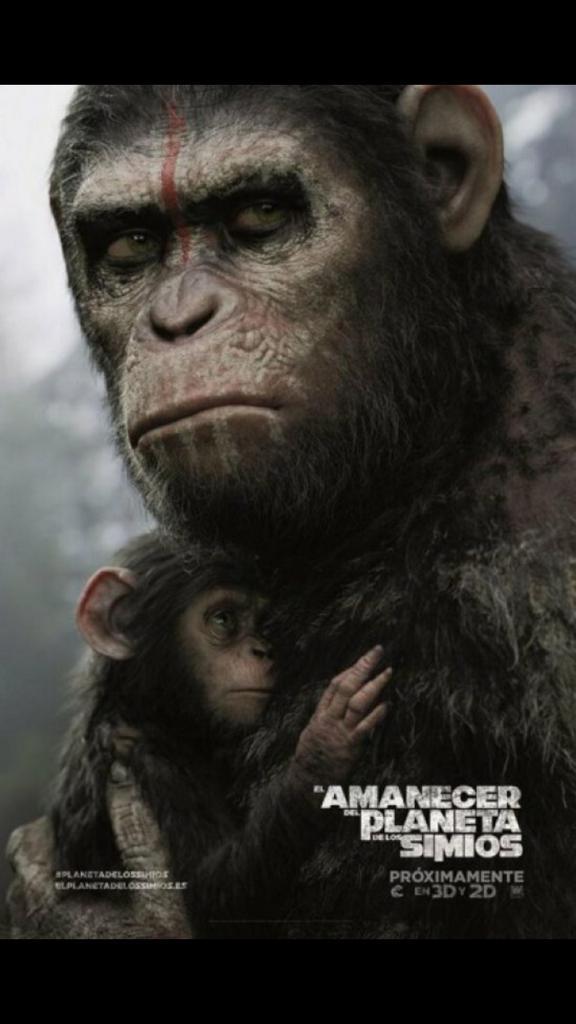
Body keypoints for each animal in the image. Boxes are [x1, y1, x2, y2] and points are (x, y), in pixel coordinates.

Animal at [50, 532, 391, 938]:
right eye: (224, 619)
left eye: (264, 624)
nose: (263, 650)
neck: (157, 713)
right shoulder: (157, 765)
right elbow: (215, 891)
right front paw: (324, 747)